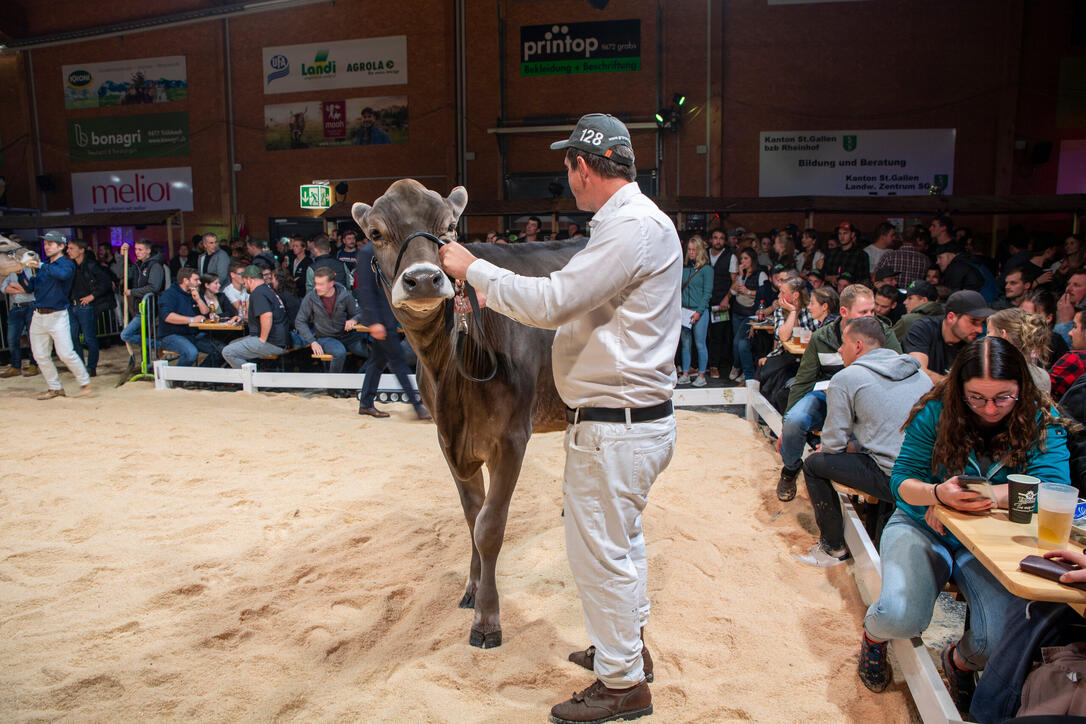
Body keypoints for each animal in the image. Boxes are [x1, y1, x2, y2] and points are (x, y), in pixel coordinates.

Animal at [351, 182, 582, 651]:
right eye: (375, 233)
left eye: (449, 227)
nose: (423, 278)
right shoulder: (449, 440)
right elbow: (472, 516)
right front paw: (472, 589)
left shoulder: (511, 438)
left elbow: (490, 525)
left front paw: (487, 620)